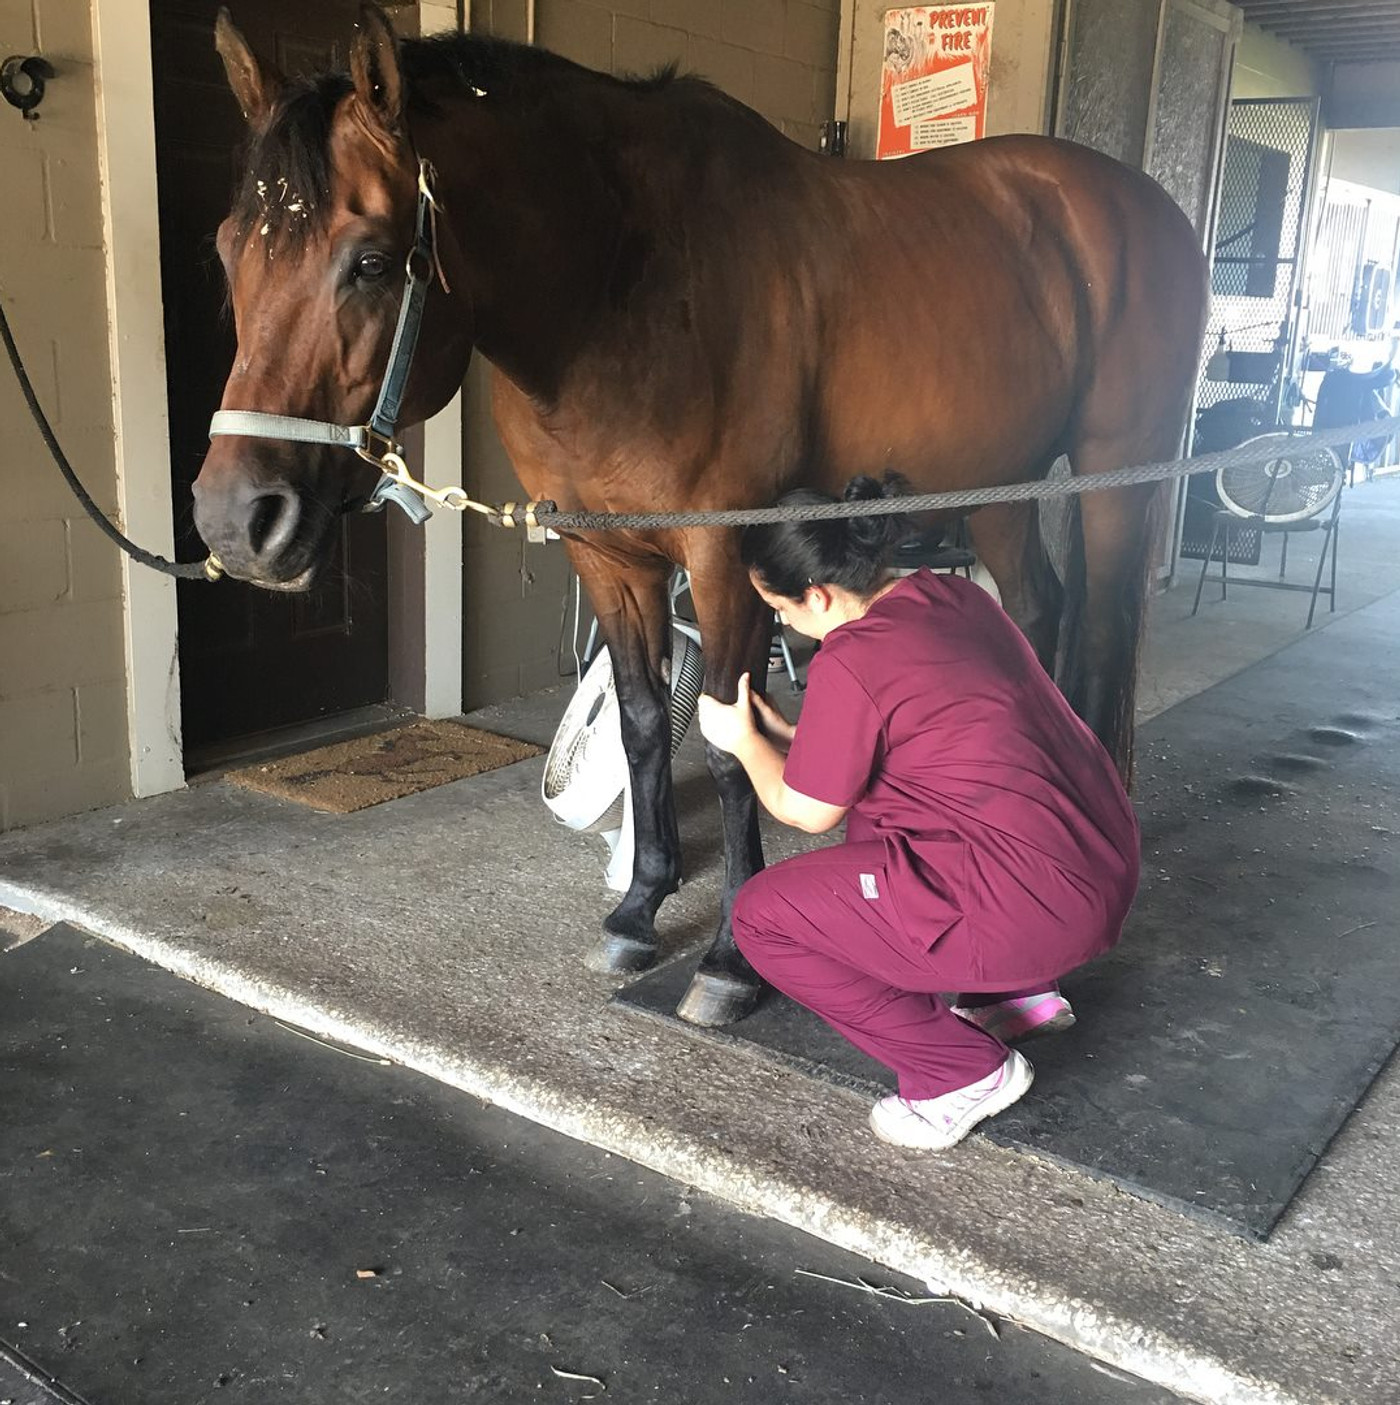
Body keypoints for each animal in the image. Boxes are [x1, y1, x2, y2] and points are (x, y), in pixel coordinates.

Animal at [194, 4, 1207, 1029]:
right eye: (229, 250)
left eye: (368, 262)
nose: (238, 523)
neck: (623, 279)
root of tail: (1138, 202)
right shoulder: (606, 557)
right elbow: (643, 723)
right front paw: (639, 908)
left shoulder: (726, 558)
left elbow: (729, 744)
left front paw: (728, 962)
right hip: (994, 486)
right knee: (1037, 611)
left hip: (1115, 476)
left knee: (1101, 628)